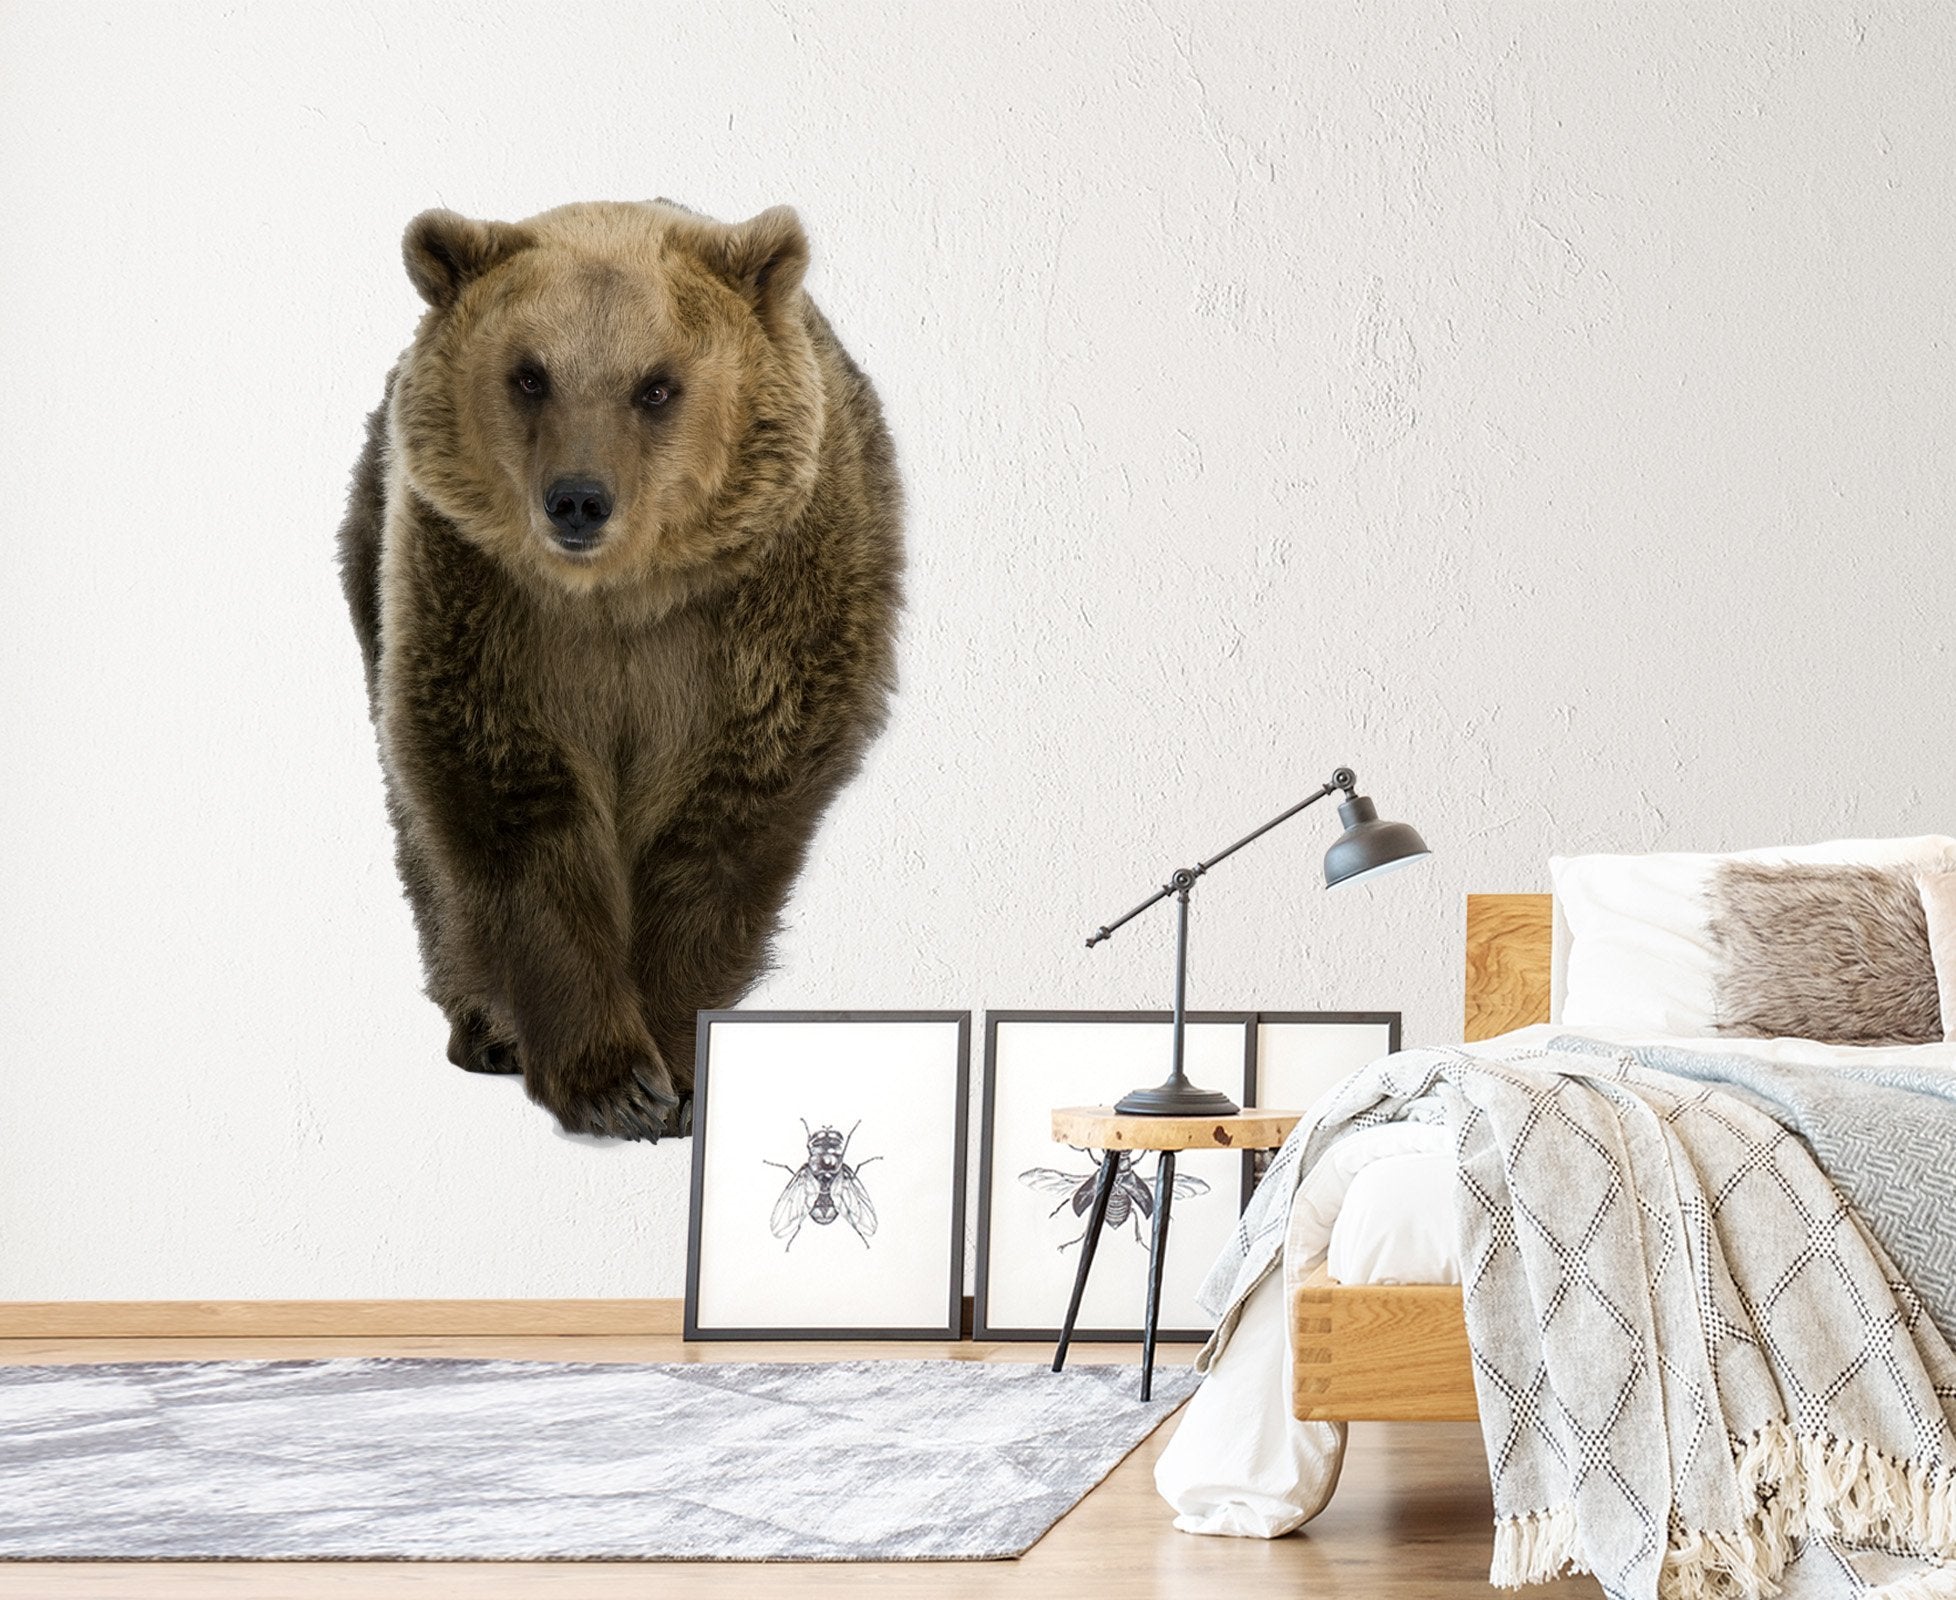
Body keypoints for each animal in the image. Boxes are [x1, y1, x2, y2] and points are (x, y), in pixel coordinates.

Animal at [336, 200, 903, 1141]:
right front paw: (609, 1080)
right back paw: (482, 1026)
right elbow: (511, 806)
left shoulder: (765, 612)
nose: (577, 499)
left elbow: (724, 825)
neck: (621, 598)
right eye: (530, 375)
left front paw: (676, 1070)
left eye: (657, 385)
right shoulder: (482, 601)